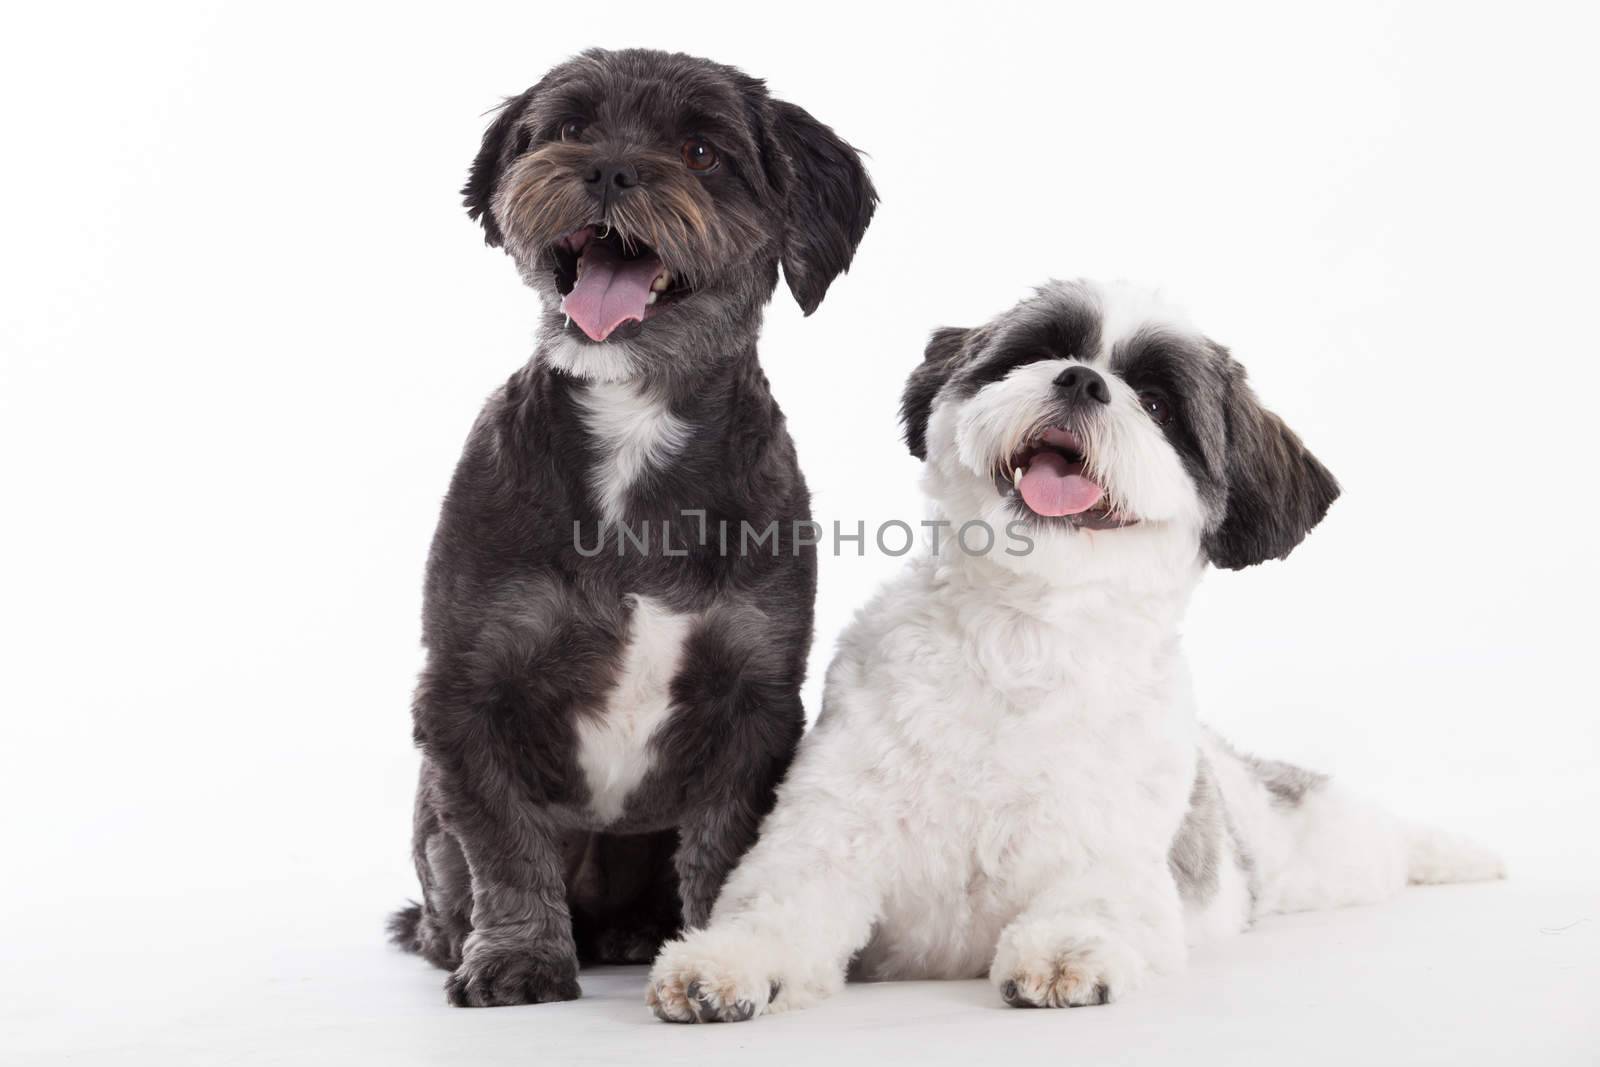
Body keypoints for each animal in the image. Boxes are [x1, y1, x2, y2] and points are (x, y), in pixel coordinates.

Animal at [393, 47, 883, 1011]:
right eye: (569, 127)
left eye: (701, 151)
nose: (608, 169)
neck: (633, 418)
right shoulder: (467, 691)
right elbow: (504, 841)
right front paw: (516, 957)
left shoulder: (753, 693)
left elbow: (729, 845)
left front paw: (722, 958)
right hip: (428, 812)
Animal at [643, 279, 1504, 1023]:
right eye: (1041, 351)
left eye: (1157, 403)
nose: (1084, 382)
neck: (1021, 638)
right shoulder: (828, 826)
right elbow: (778, 902)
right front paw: (726, 963)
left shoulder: (1117, 856)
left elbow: (1091, 902)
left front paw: (1064, 954)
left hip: (1322, 847)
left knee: (1378, 835)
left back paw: (1454, 850)